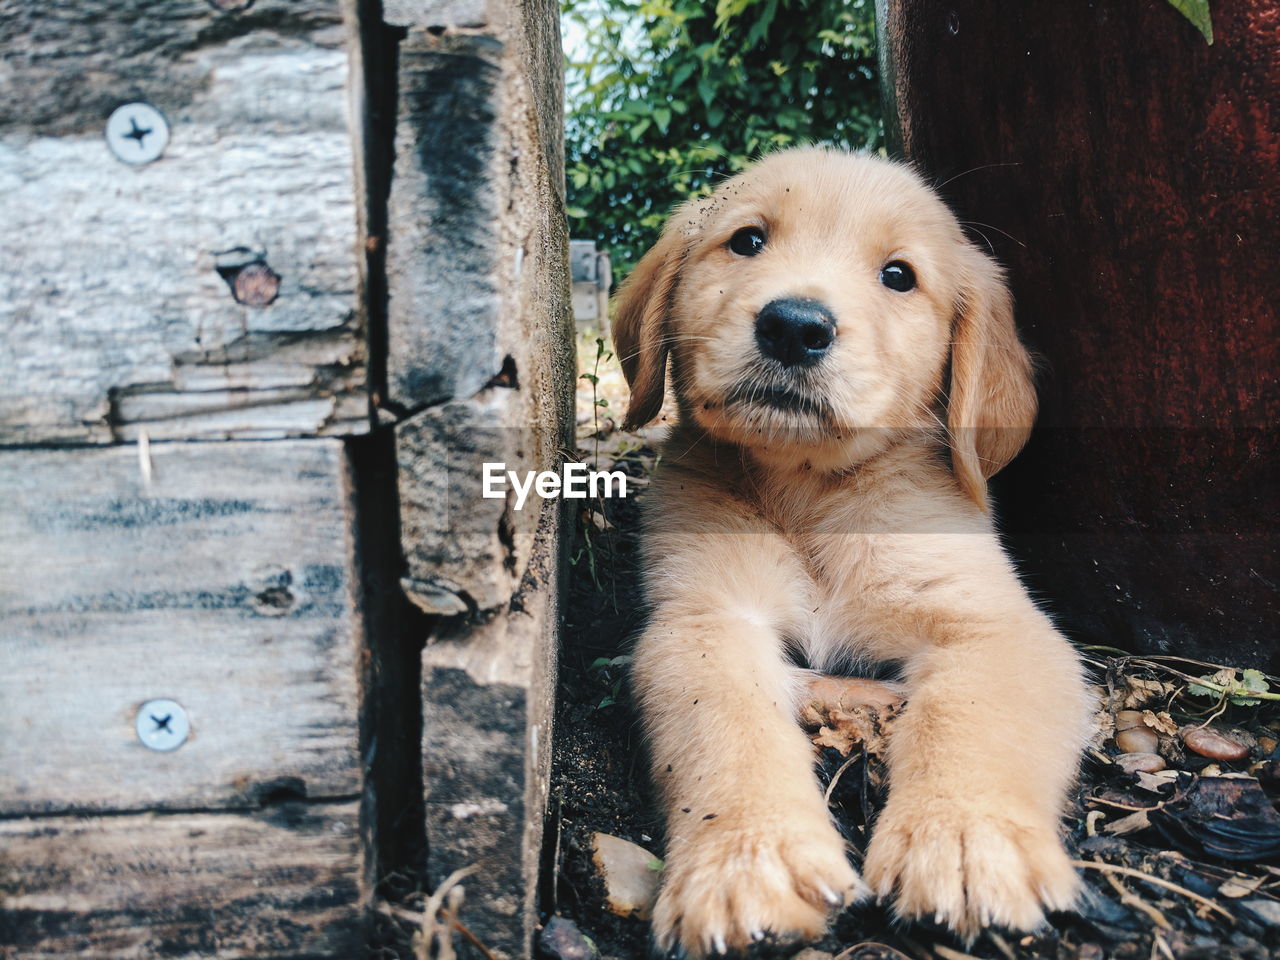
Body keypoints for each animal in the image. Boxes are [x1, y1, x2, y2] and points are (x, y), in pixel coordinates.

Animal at [614, 146, 1095, 957]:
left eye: (898, 275)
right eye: (747, 241)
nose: (794, 326)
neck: (810, 495)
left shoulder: (988, 623)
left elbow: (971, 720)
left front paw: (965, 838)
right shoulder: (707, 620)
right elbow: (728, 729)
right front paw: (750, 857)